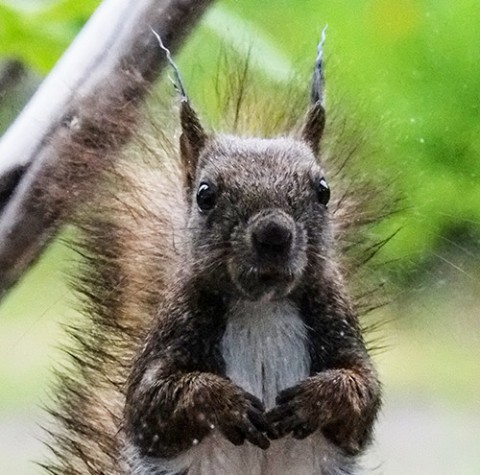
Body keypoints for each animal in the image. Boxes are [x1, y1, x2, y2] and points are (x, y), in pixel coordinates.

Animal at [44, 31, 382, 474]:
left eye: (323, 191)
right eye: (205, 195)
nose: (273, 233)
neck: (262, 308)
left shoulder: (338, 319)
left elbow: (362, 393)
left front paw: (317, 400)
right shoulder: (174, 330)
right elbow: (153, 401)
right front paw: (224, 404)